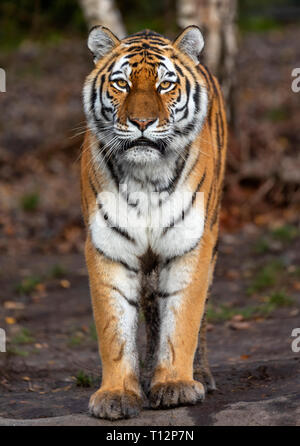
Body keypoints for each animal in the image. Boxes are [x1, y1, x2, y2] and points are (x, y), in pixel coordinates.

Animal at [81, 25, 226, 422]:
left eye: (164, 85)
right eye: (121, 83)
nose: (142, 124)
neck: (146, 177)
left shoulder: (191, 243)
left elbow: (184, 317)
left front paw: (176, 385)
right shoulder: (108, 246)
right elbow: (114, 327)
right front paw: (116, 394)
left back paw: (200, 375)